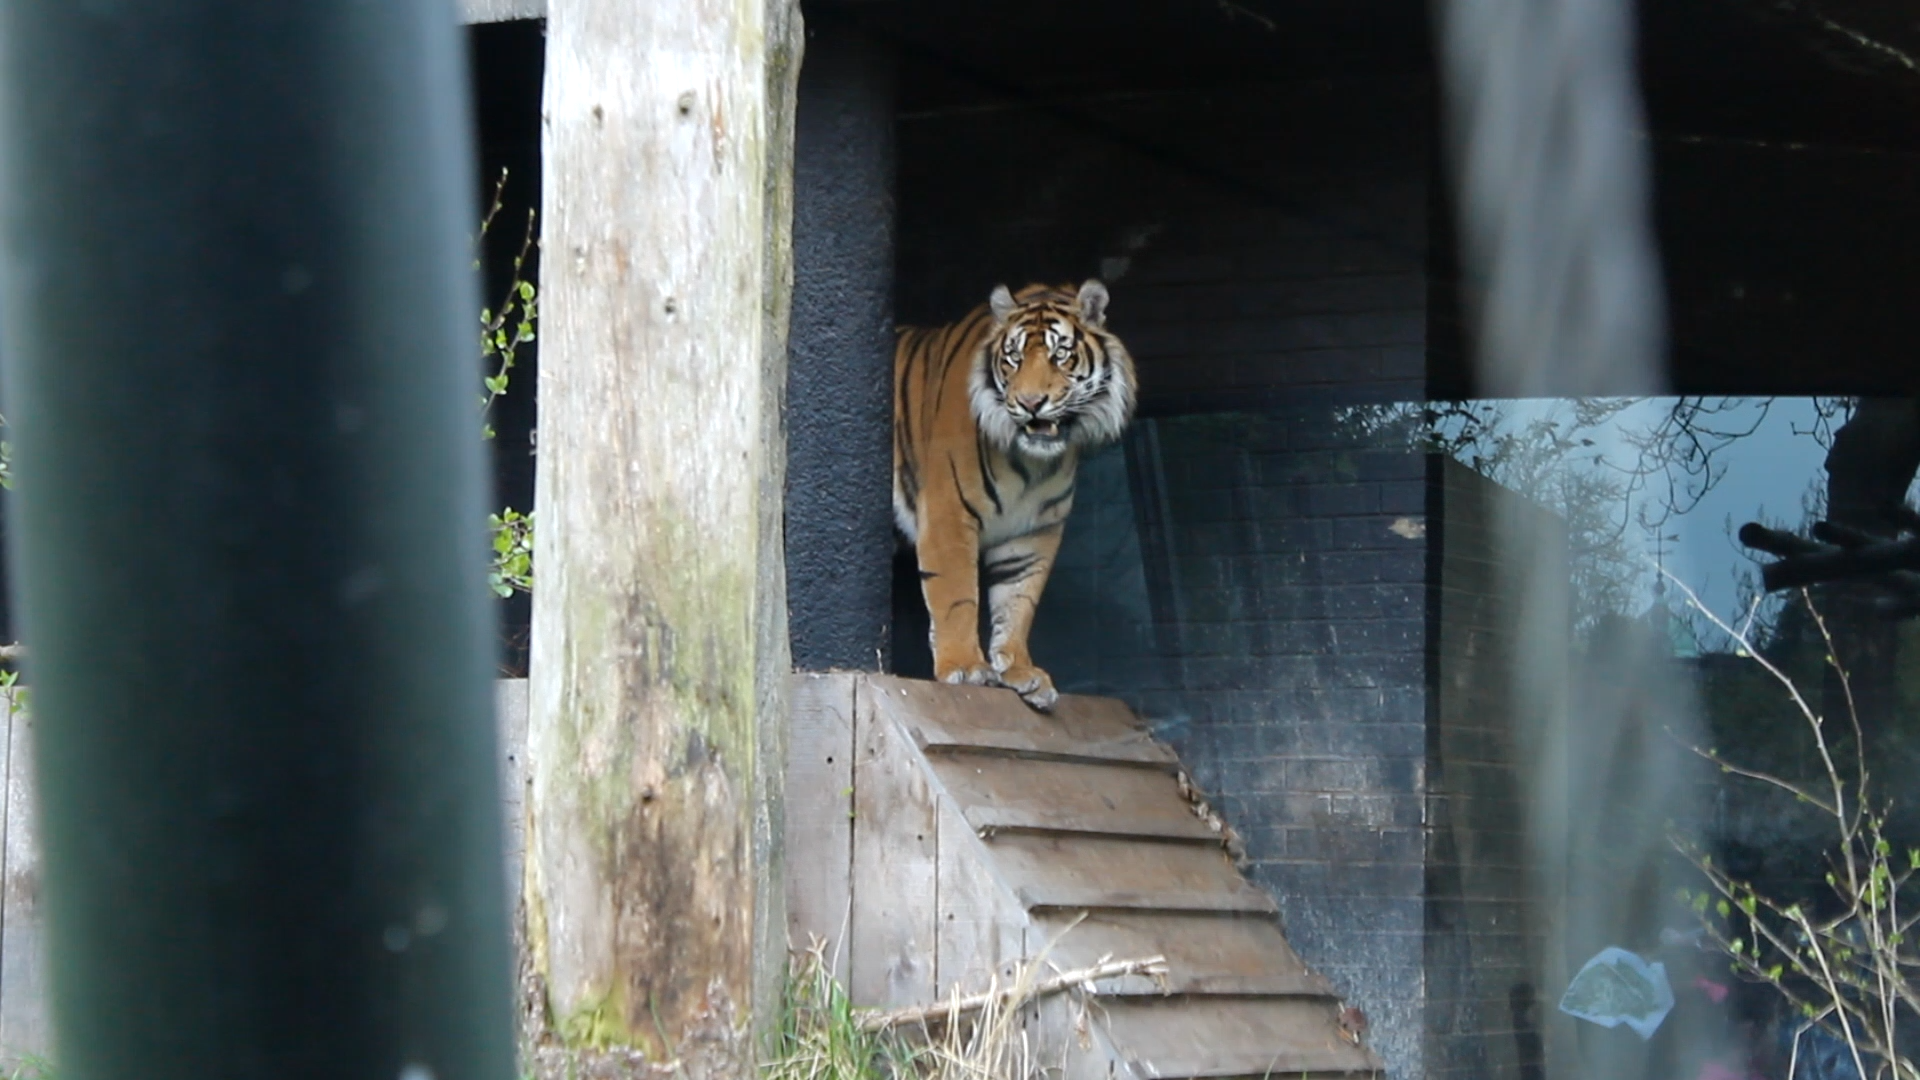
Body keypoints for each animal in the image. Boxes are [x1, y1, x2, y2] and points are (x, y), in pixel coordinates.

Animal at [893, 279, 1138, 711]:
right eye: (1014, 358)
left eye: (1060, 355)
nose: (1030, 403)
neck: (1033, 465)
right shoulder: (947, 514)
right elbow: (956, 594)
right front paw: (965, 667)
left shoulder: (1033, 532)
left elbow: (1018, 600)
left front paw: (1021, 671)